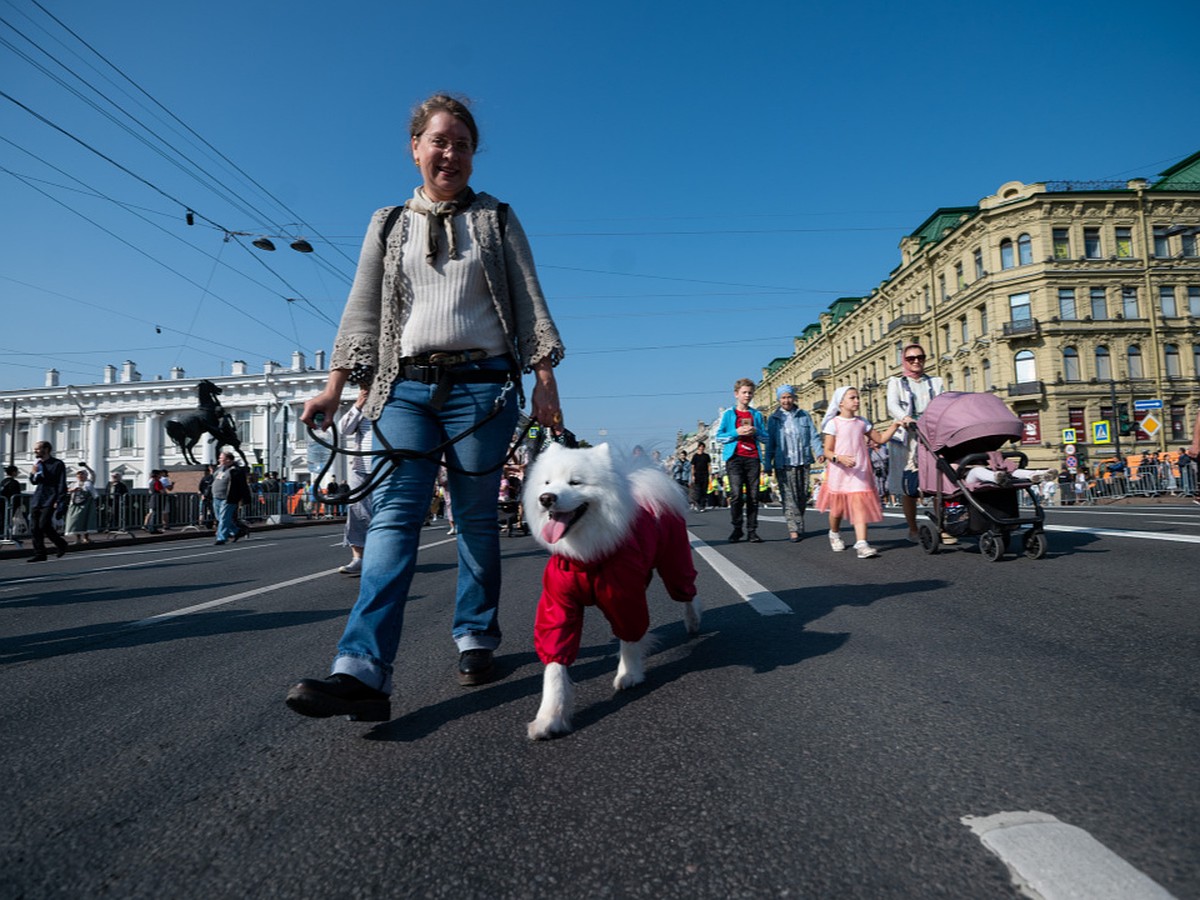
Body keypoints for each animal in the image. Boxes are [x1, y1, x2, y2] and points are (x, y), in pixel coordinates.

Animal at [520, 444, 700, 739]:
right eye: (546, 483)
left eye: (575, 482)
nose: (546, 498)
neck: (586, 559)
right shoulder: (558, 604)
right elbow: (555, 664)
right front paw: (549, 717)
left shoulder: (624, 598)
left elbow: (630, 637)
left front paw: (629, 674)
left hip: (674, 563)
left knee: (687, 592)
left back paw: (693, 621)